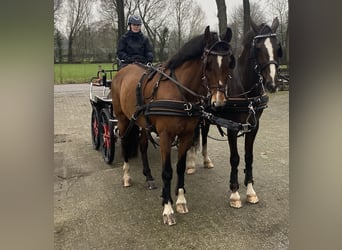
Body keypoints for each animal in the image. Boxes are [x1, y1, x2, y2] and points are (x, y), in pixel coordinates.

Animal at [111, 26, 235, 226]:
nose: (219, 102)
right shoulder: (165, 136)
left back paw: (148, 176)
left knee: (143, 145)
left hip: (143, 123)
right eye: (208, 64)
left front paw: (181, 200)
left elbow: (180, 168)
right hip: (122, 119)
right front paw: (167, 207)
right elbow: (167, 171)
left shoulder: (186, 135)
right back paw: (127, 176)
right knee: (124, 144)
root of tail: (124, 71)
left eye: (230, 63)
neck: (180, 91)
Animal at [188, 17, 282, 207]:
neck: (245, 89)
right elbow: (235, 158)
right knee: (193, 135)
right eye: (258, 48)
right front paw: (235, 192)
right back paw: (191, 163)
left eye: (277, 47)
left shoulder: (253, 126)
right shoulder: (232, 127)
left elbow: (248, 156)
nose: (273, 84)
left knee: (204, 134)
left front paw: (251, 190)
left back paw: (206, 160)